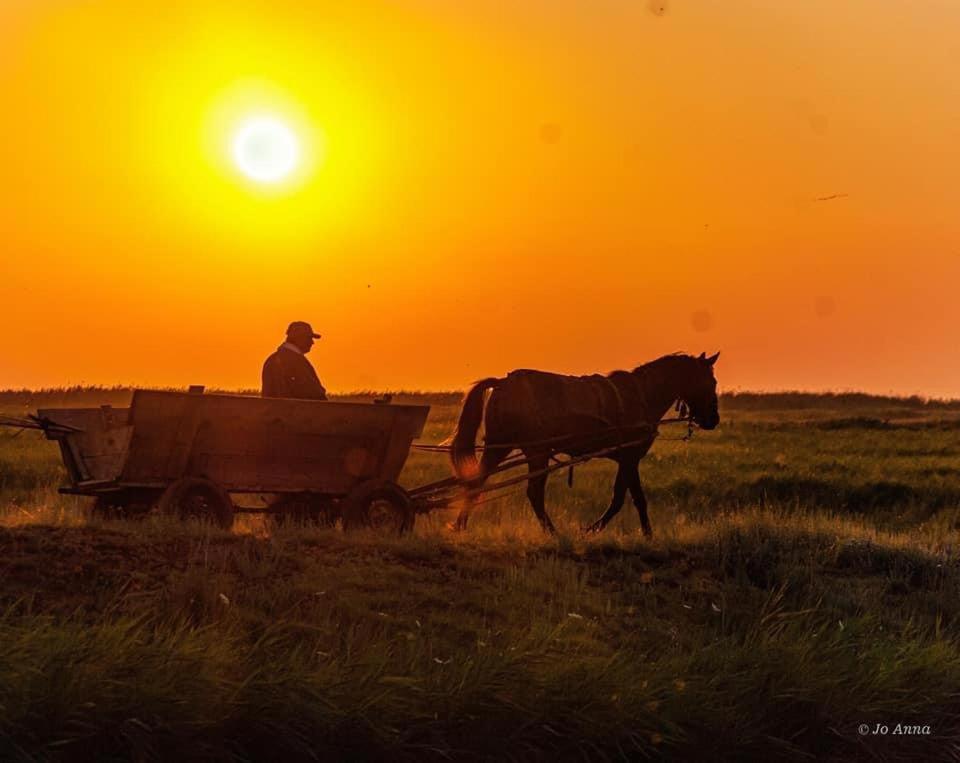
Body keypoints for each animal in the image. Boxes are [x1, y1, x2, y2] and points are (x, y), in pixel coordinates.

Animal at [450, 350, 720, 536]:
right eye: (712, 382)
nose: (713, 420)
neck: (641, 395)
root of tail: (503, 382)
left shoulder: (628, 459)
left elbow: (631, 498)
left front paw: (645, 534)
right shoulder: (629, 458)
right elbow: (624, 499)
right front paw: (594, 530)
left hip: (500, 446)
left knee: (477, 482)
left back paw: (460, 525)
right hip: (536, 452)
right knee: (533, 492)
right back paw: (552, 532)